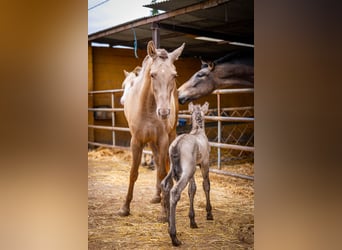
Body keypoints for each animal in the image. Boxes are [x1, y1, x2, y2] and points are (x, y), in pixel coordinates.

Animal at [119, 40, 186, 219]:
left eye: (174, 75)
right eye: (153, 74)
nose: (163, 112)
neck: (148, 108)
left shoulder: (162, 140)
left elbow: (163, 172)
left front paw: (164, 211)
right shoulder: (136, 141)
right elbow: (133, 172)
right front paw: (125, 207)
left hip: (169, 136)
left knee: (164, 166)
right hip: (151, 141)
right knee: (156, 160)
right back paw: (157, 196)